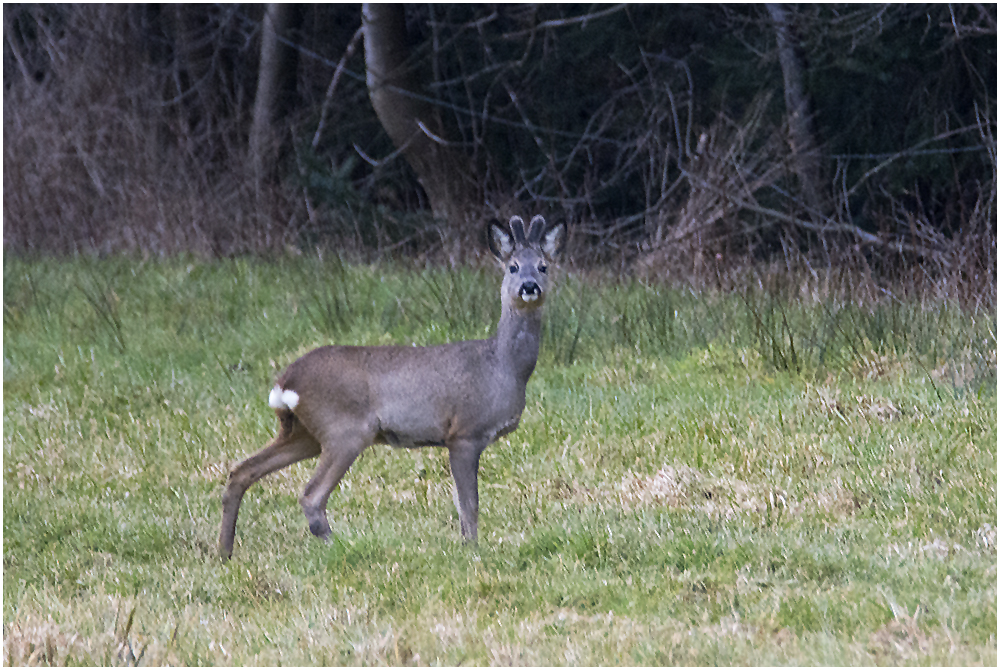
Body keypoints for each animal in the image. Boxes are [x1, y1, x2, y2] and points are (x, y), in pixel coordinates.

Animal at [218, 217, 564, 560]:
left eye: (543, 266)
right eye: (513, 267)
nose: (529, 286)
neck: (503, 368)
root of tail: (286, 381)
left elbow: (462, 503)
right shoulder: (465, 432)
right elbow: (469, 504)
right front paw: (472, 551)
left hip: (304, 432)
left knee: (241, 471)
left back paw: (225, 552)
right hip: (345, 429)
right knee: (310, 496)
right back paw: (343, 546)